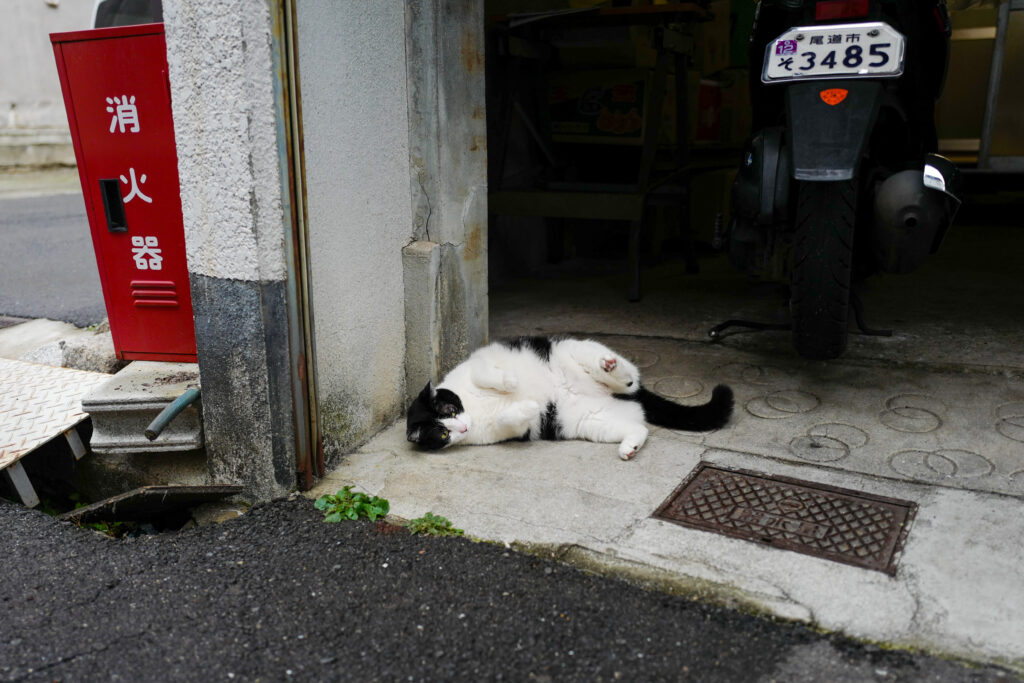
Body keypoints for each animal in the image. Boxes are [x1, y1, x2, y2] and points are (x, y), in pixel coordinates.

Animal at [403, 335, 733, 458]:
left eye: (449, 408)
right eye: (442, 434)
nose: (462, 427)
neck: (472, 406)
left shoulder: (477, 362)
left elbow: (486, 373)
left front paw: (510, 382)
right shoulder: (506, 431)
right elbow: (507, 419)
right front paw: (526, 406)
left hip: (573, 350)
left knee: (629, 375)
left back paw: (612, 367)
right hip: (591, 420)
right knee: (640, 427)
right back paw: (630, 447)